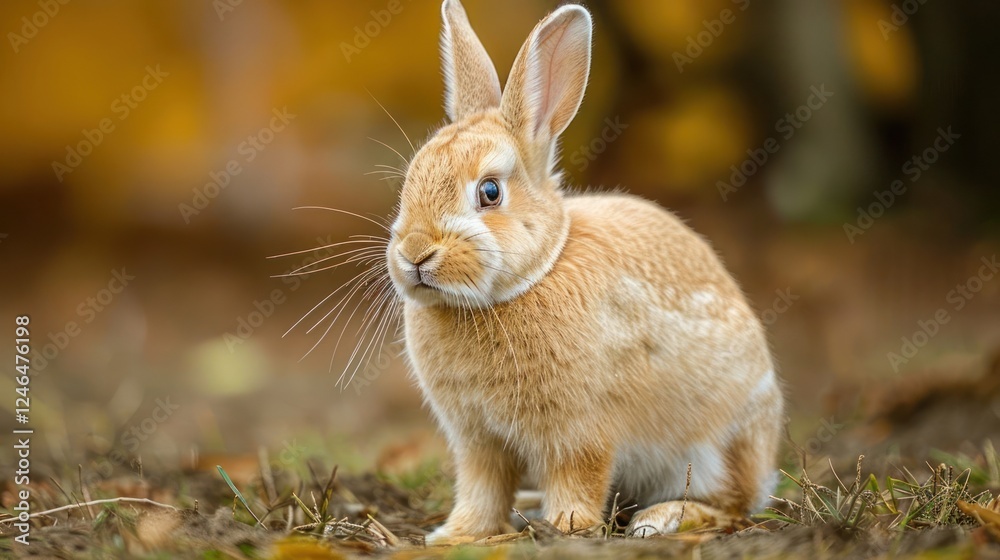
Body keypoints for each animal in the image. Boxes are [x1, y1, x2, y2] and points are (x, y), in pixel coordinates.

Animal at [383, 0, 784, 544]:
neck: (526, 281)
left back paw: (660, 519)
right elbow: (482, 489)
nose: (415, 254)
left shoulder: (580, 432)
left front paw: (566, 527)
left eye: (490, 192)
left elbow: (579, 477)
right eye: (411, 180)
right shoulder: (477, 441)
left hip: (715, 447)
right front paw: (458, 535)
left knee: (733, 503)